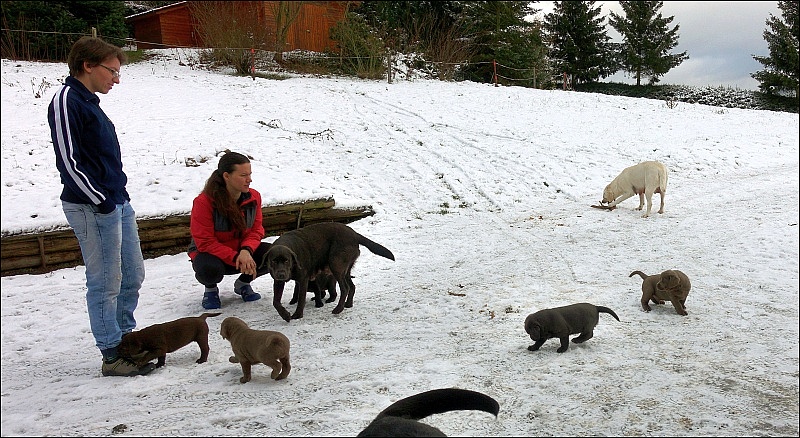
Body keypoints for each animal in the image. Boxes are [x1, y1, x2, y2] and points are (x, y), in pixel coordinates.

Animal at [260, 222, 396, 322]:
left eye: (287, 260)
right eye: (274, 261)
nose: (281, 274)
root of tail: (354, 234)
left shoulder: (303, 280)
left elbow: (301, 299)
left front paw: (297, 315)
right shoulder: (278, 281)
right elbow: (275, 302)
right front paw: (285, 315)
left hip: (336, 265)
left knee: (345, 288)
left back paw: (338, 309)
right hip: (345, 269)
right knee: (352, 286)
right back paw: (348, 304)